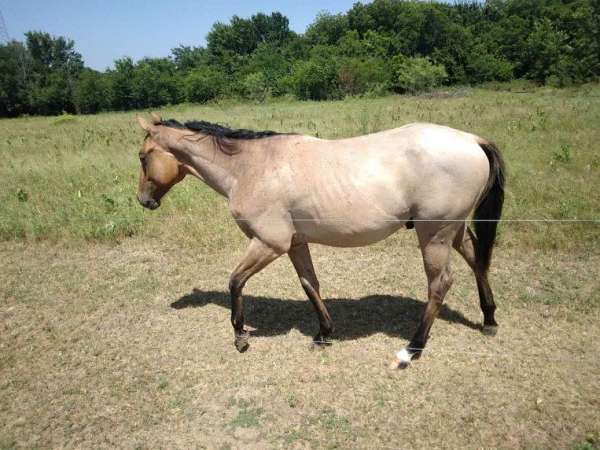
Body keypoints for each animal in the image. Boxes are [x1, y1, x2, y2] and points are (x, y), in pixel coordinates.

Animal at [137, 113, 506, 370]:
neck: (251, 167)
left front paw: (240, 336)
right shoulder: (296, 244)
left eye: (143, 156)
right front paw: (324, 333)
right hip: (452, 230)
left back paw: (410, 350)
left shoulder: (269, 244)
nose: (143, 200)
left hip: (434, 234)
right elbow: (309, 284)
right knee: (477, 260)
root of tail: (472, 140)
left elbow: (235, 281)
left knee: (439, 284)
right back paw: (488, 320)